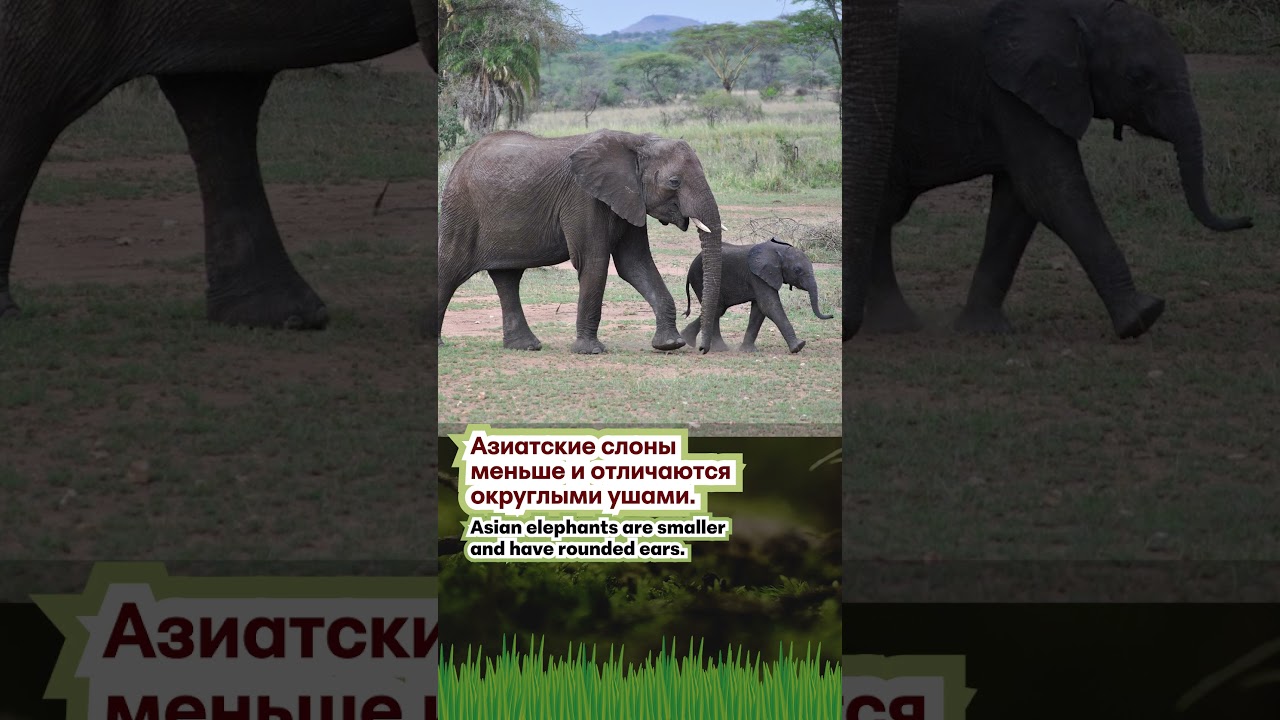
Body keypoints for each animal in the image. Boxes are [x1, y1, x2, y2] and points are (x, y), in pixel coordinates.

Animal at [437, 128, 728, 354]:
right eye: (674, 182)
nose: (702, 349)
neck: (637, 142)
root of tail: (458, 163)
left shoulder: (629, 199)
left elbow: (635, 264)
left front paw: (670, 344)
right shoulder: (584, 198)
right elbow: (594, 262)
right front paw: (591, 351)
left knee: (507, 278)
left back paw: (525, 346)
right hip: (461, 209)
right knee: (450, 268)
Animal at [682, 238, 833, 353]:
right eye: (797, 270)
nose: (831, 315)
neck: (778, 250)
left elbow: (759, 310)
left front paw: (748, 351)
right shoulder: (757, 276)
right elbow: (769, 306)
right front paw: (798, 346)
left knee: (718, 309)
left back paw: (691, 341)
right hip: (699, 278)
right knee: (717, 309)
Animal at [856, 0, 1252, 340]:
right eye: (1139, 78)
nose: (1248, 220)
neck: (1080, 11)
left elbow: (1017, 202)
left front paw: (984, 331)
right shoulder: (1008, 88)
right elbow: (1051, 190)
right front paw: (1143, 316)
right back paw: (895, 327)